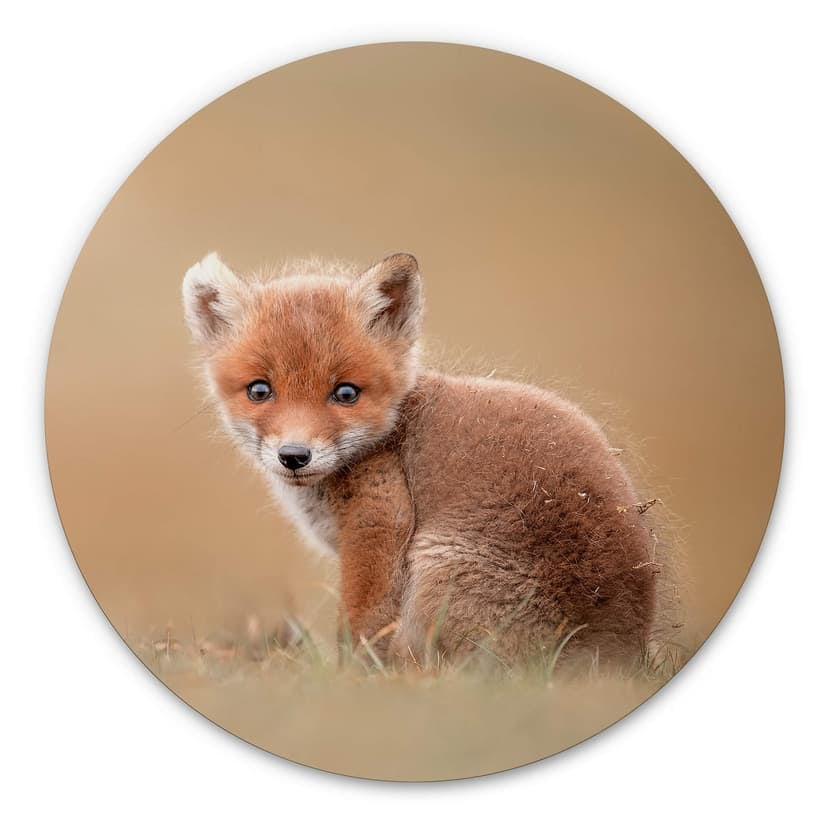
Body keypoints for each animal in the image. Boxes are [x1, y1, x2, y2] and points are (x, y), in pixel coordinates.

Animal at [183, 251, 663, 670]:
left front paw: (349, 683)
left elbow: (361, 628)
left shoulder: (379, 522)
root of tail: (616, 654)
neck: (390, 434)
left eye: (346, 393)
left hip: (436, 569)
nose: (294, 456)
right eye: (259, 390)